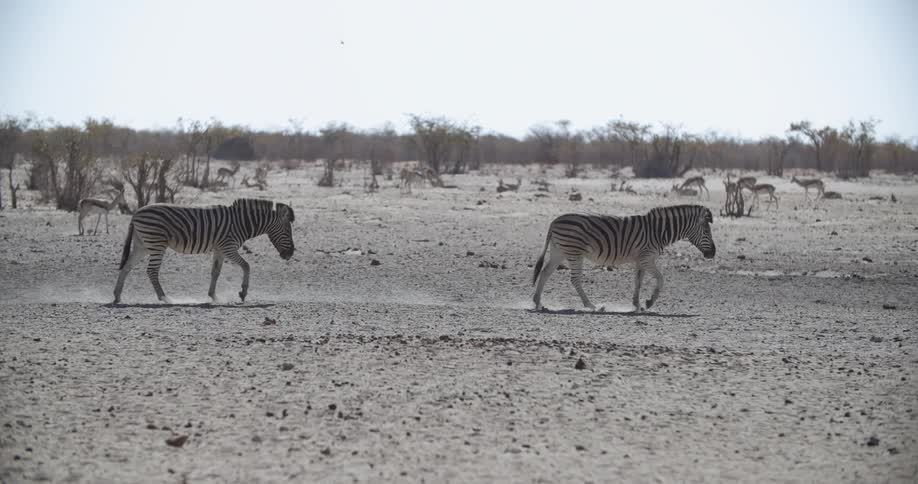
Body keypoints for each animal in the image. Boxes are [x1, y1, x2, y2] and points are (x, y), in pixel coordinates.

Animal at [112, 198, 295, 304]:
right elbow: (246, 266)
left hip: (142, 245)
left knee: (126, 267)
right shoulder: (228, 247)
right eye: (288, 231)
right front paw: (243, 292)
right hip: (157, 243)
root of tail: (136, 213)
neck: (243, 222)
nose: (290, 254)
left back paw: (117, 296)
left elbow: (216, 272)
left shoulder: (220, 249)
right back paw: (165, 298)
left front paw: (214, 296)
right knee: (151, 271)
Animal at [532, 205, 716, 312]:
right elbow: (661, 279)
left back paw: (538, 302)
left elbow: (638, 282)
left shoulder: (640, 260)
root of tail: (555, 221)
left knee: (545, 272)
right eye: (707, 231)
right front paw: (649, 302)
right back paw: (592, 306)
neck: (658, 231)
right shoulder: (647, 258)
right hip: (574, 252)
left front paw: (636, 304)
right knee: (574, 279)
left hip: (559, 251)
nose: (713, 253)